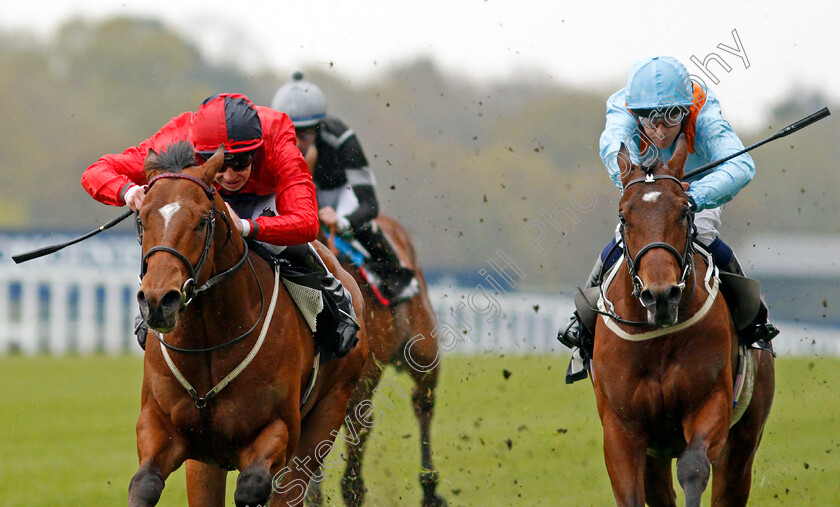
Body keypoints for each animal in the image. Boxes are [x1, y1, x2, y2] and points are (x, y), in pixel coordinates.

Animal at [131, 143, 368, 507]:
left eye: (202, 221)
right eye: (142, 219)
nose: (158, 301)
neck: (208, 341)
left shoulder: (275, 429)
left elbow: (252, 486)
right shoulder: (162, 428)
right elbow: (143, 485)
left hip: (329, 411)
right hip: (205, 462)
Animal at [592, 136, 776, 507]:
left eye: (683, 211)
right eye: (623, 216)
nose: (661, 295)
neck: (659, 336)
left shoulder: (710, 402)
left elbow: (693, 466)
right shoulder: (622, 427)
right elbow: (630, 494)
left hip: (744, 439)